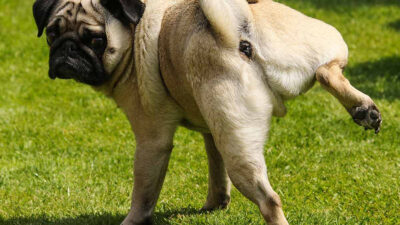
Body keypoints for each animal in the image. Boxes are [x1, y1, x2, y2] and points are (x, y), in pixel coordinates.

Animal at [32, 0, 382, 224]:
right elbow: (216, 172)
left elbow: (143, 193)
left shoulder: (151, 140)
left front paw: (132, 220)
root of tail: (242, 36)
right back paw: (363, 109)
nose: (67, 49)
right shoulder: (213, 130)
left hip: (239, 148)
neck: (134, 32)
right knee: (327, 70)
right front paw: (215, 205)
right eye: (51, 33)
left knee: (269, 200)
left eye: (95, 39)